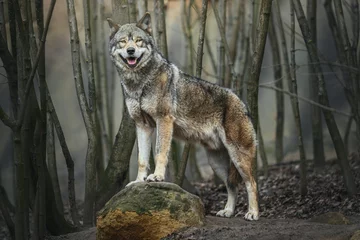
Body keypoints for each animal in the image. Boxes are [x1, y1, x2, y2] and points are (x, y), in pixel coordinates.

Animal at [106, 12, 258, 220]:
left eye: (138, 41)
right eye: (123, 42)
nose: (131, 51)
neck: (139, 84)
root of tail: (242, 102)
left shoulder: (163, 120)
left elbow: (160, 152)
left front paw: (157, 177)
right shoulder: (142, 125)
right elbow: (142, 159)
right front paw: (138, 181)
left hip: (238, 157)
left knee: (252, 183)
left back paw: (253, 213)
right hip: (216, 163)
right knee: (231, 185)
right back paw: (227, 211)